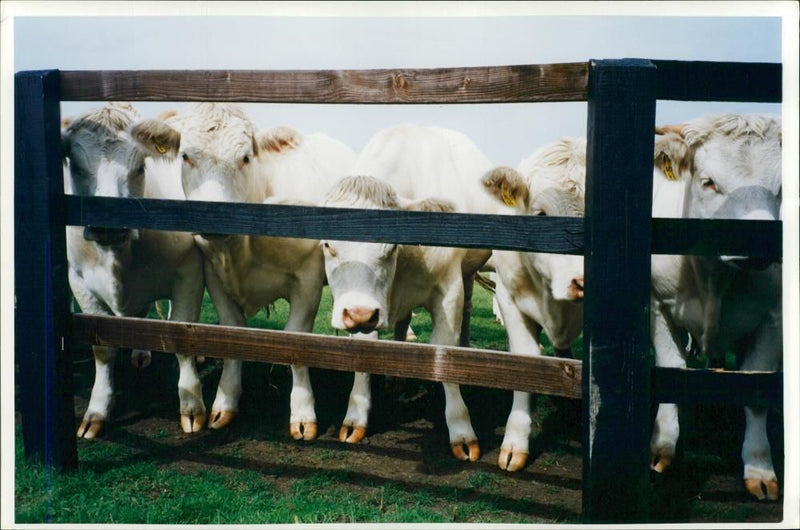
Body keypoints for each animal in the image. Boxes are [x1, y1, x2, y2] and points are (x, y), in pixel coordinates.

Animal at [63, 103, 206, 438]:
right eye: (75, 165)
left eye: (140, 166)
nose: (109, 226)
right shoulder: (79, 282)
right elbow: (102, 349)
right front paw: (96, 412)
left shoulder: (189, 271)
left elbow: (183, 335)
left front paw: (192, 407)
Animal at [130, 103, 354, 438]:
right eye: (185, 156)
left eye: (246, 157)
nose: (212, 216)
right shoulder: (214, 275)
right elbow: (231, 331)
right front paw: (225, 403)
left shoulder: (308, 278)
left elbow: (297, 340)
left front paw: (302, 413)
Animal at [648, 112, 780, 500]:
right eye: (708, 182)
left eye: (781, 189)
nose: (759, 247)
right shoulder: (659, 307)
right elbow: (672, 370)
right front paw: (663, 447)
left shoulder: (772, 320)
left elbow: (756, 389)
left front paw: (759, 466)